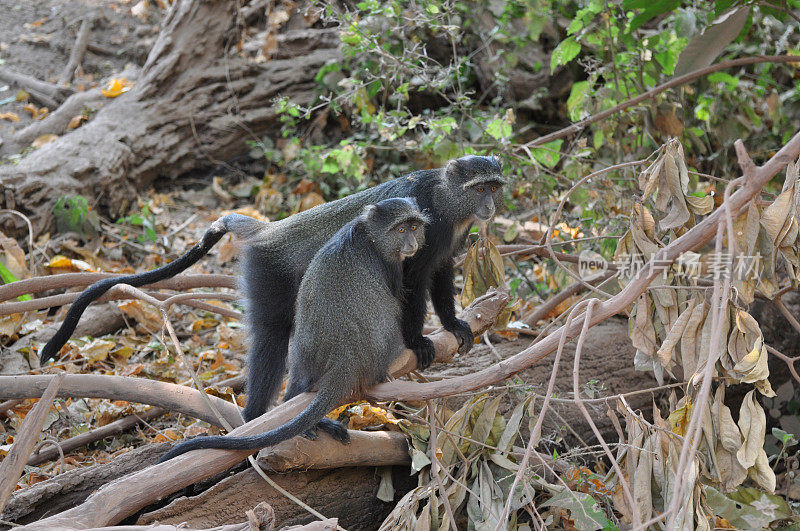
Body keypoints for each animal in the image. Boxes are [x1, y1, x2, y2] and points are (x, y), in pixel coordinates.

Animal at [40, 155, 504, 424]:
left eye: (493, 187)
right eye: (479, 188)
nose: (489, 206)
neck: (444, 199)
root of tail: (269, 231)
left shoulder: (442, 245)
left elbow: (441, 277)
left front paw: (453, 325)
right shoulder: (419, 239)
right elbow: (411, 286)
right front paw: (417, 341)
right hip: (268, 273)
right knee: (274, 335)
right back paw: (256, 417)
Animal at [159, 198, 428, 462]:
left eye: (414, 227)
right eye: (401, 229)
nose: (412, 243)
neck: (365, 232)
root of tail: (345, 362)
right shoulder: (390, 263)